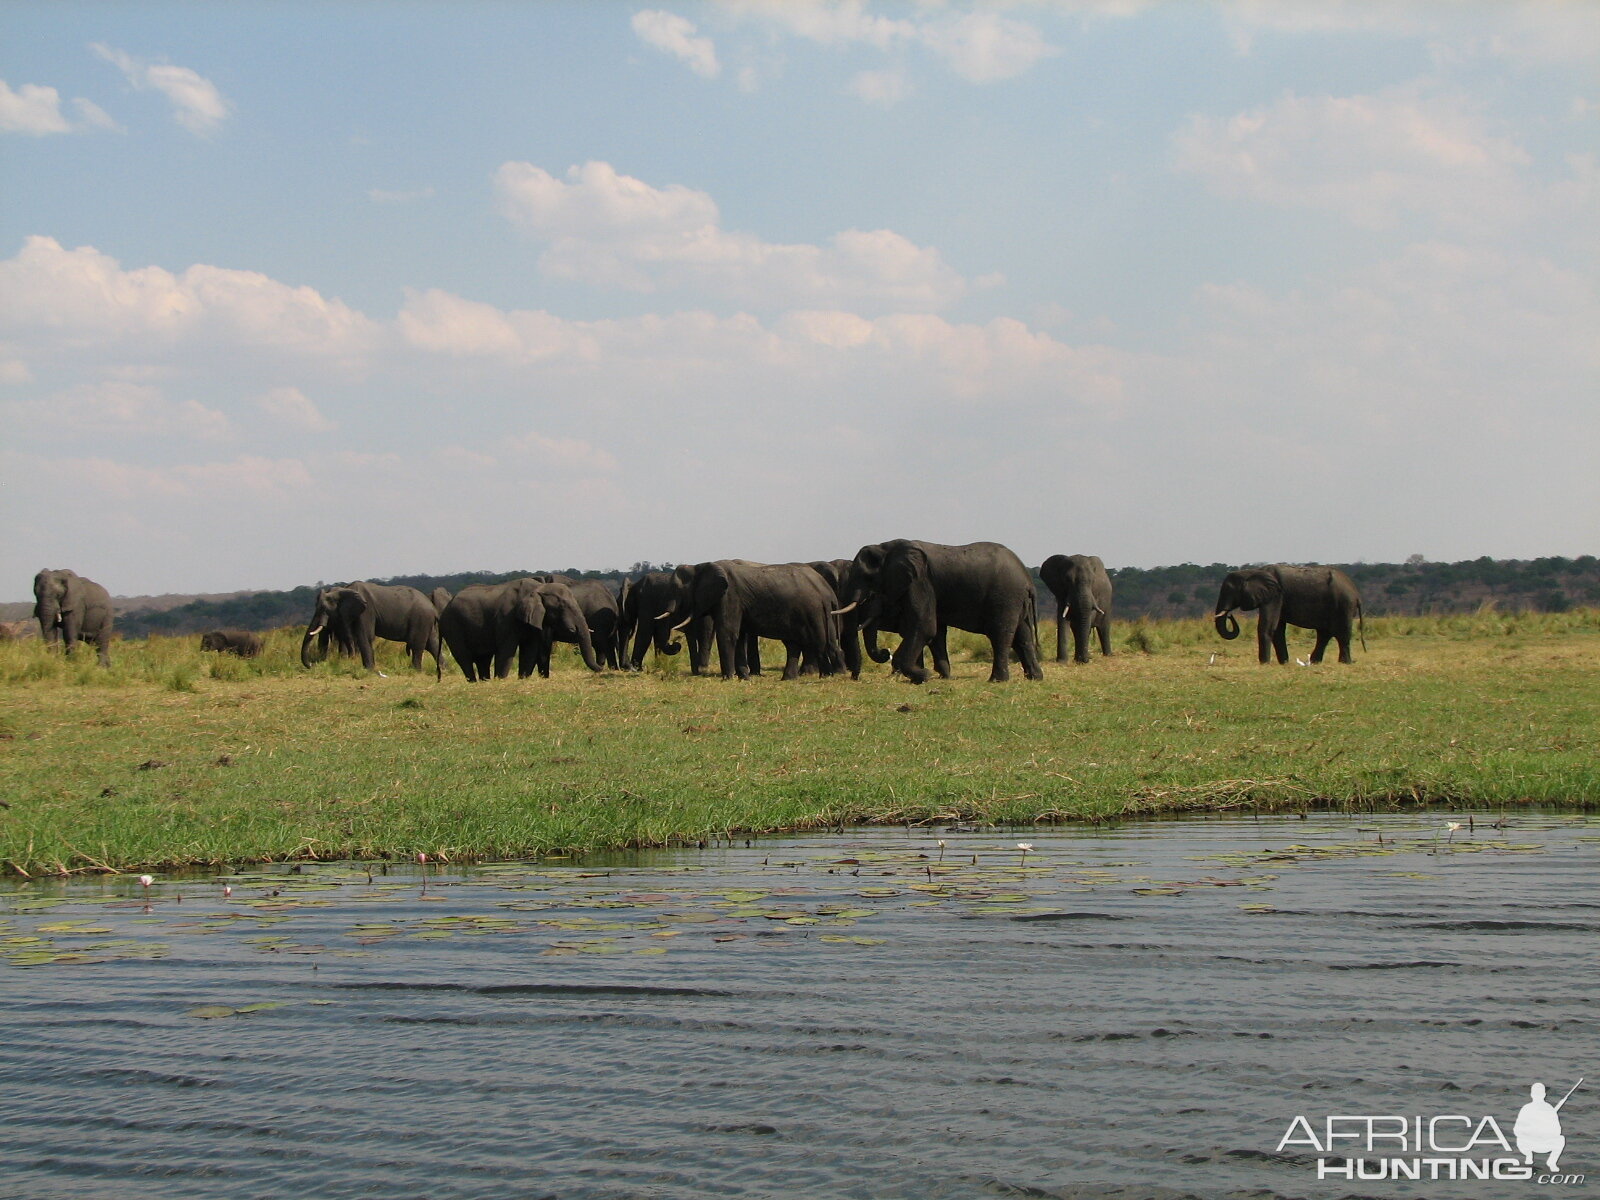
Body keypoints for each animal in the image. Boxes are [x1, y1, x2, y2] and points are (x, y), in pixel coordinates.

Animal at [296, 585, 441, 681]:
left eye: (324, 609)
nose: (313, 664)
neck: (344, 589)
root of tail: (433, 608)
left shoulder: (366, 612)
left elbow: (364, 637)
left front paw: (368, 670)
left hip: (421, 619)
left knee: (417, 646)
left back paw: (416, 671)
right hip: (426, 622)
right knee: (433, 645)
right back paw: (443, 668)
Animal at [438, 579, 601, 681]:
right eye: (562, 606)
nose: (602, 668)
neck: (538, 588)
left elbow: (529, 650)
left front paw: (522, 679)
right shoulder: (506, 618)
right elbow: (506, 651)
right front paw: (501, 680)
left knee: (483, 658)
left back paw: (484, 681)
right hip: (452, 626)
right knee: (463, 657)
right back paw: (473, 681)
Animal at [675, 563, 851, 681]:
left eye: (679, 593)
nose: (698, 671)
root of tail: (826, 593)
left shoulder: (729, 597)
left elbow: (728, 633)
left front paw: (728, 679)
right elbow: (739, 636)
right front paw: (744, 678)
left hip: (812, 611)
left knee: (818, 642)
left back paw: (826, 676)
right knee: (795, 644)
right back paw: (790, 678)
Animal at [838, 537, 1049, 681]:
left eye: (867, 578)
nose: (885, 651)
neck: (887, 547)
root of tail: (1028, 580)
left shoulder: (920, 581)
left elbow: (924, 626)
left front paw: (924, 675)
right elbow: (936, 631)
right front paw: (942, 677)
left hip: (1005, 597)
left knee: (1000, 635)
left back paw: (997, 680)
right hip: (1016, 601)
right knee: (1023, 637)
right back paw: (1034, 678)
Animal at [1209, 566, 1363, 668]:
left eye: (1229, 591)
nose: (1230, 615)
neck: (1253, 571)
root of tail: (1356, 593)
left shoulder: (1275, 596)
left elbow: (1267, 626)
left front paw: (1264, 663)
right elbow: (1278, 630)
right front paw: (1283, 663)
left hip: (1344, 605)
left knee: (1341, 634)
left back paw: (1344, 663)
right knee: (1324, 634)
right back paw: (1315, 662)